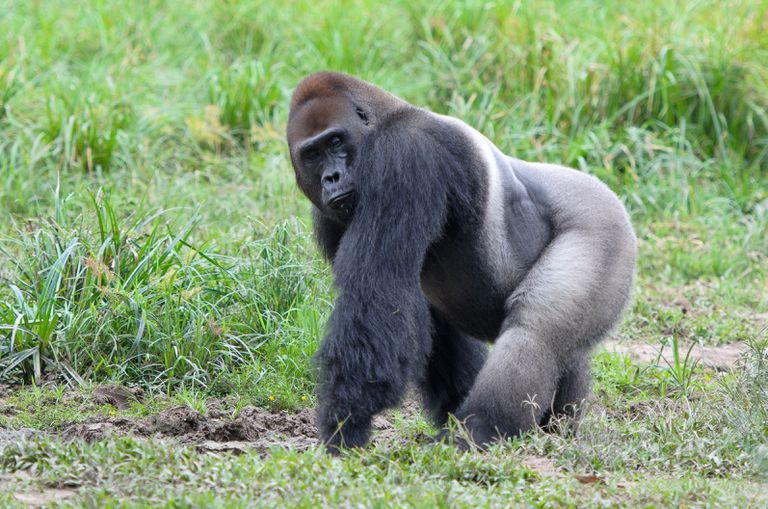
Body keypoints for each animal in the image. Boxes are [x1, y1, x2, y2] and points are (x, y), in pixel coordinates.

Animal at [284, 71, 632, 452]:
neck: (386, 116)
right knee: (563, 350)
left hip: (602, 224)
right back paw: (554, 426)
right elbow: (426, 321)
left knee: (536, 330)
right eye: (312, 154)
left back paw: (480, 427)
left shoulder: (406, 152)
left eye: (336, 141)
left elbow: (378, 294)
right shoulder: (329, 218)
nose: (331, 178)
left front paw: (346, 421)